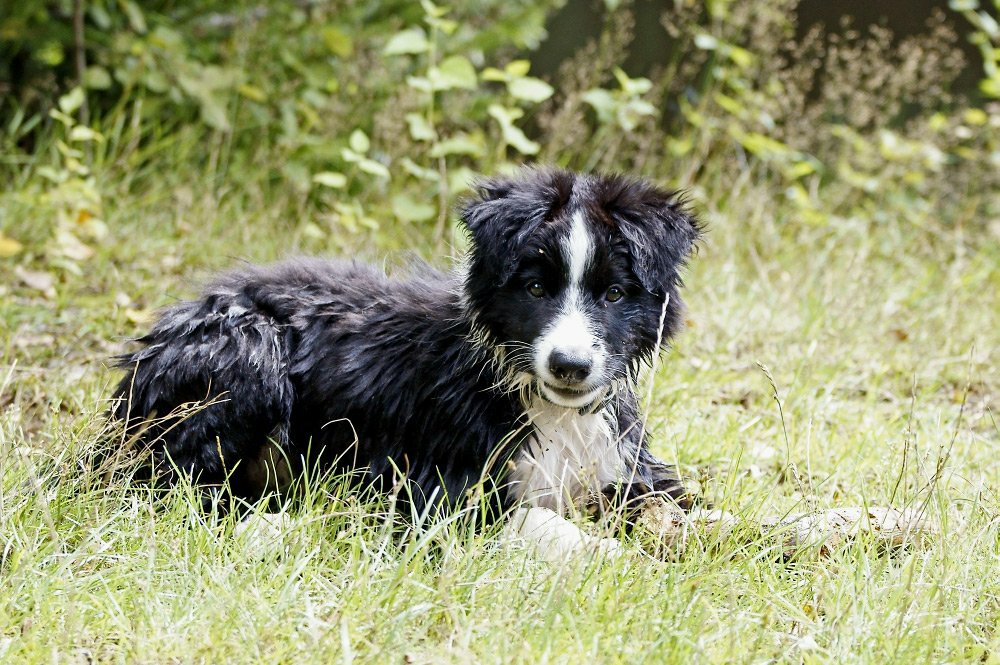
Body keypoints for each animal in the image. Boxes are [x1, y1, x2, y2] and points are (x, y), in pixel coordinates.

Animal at [109, 167, 700, 556]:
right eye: (535, 288)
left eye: (615, 294)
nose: (570, 367)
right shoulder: (436, 488)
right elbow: (536, 520)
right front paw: (616, 560)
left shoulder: (621, 462)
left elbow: (683, 505)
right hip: (248, 356)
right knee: (177, 490)